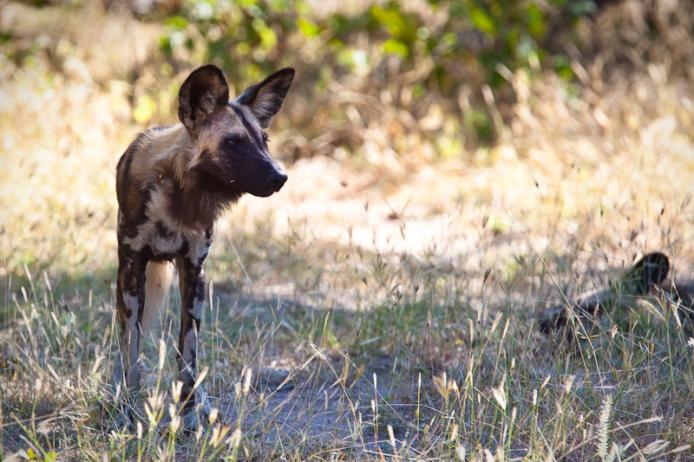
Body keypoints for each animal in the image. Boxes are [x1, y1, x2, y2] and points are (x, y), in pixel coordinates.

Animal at [114, 65, 294, 430]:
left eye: (264, 141)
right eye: (234, 142)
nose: (280, 177)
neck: (179, 197)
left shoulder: (194, 271)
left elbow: (188, 356)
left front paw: (189, 415)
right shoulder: (131, 270)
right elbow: (132, 354)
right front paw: (128, 414)